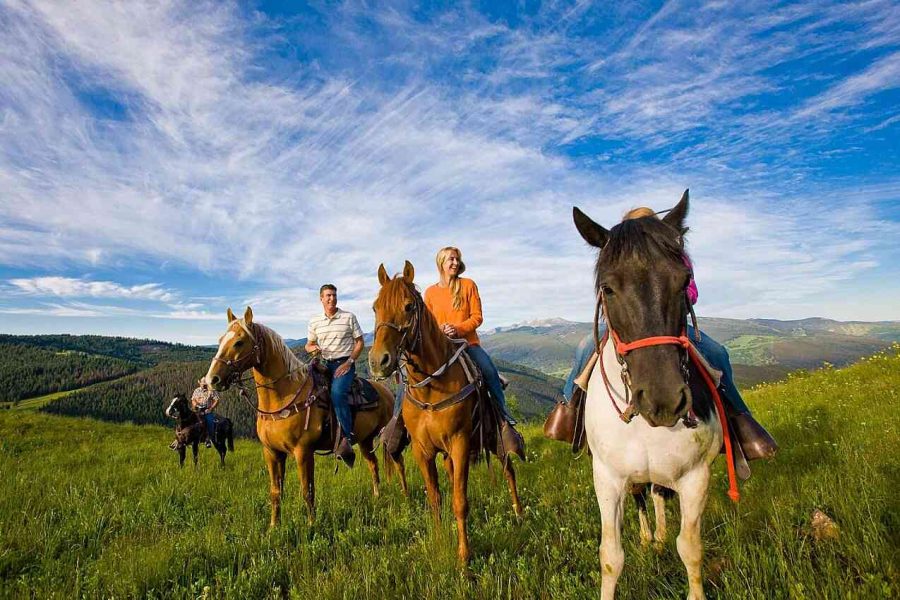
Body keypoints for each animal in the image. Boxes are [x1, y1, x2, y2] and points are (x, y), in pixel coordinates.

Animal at [204, 308, 408, 528]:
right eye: (220, 339)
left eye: (239, 342)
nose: (212, 380)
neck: (284, 396)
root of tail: (387, 392)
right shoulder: (272, 452)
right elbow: (276, 491)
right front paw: (274, 526)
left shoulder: (303, 451)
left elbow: (307, 491)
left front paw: (312, 525)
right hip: (365, 439)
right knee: (373, 464)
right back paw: (377, 496)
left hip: (389, 436)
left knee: (399, 462)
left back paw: (406, 496)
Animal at [368, 262, 520, 564]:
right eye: (375, 307)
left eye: (408, 307)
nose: (379, 361)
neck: (431, 387)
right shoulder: (422, 450)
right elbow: (436, 497)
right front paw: (439, 539)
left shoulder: (460, 443)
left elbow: (460, 501)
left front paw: (464, 557)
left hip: (494, 439)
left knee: (508, 469)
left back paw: (520, 514)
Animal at [576, 192, 740, 600]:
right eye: (607, 288)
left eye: (685, 281)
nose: (663, 400)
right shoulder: (607, 478)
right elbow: (611, 556)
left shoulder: (696, 477)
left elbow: (690, 548)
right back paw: (650, 537)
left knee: (658, 494)